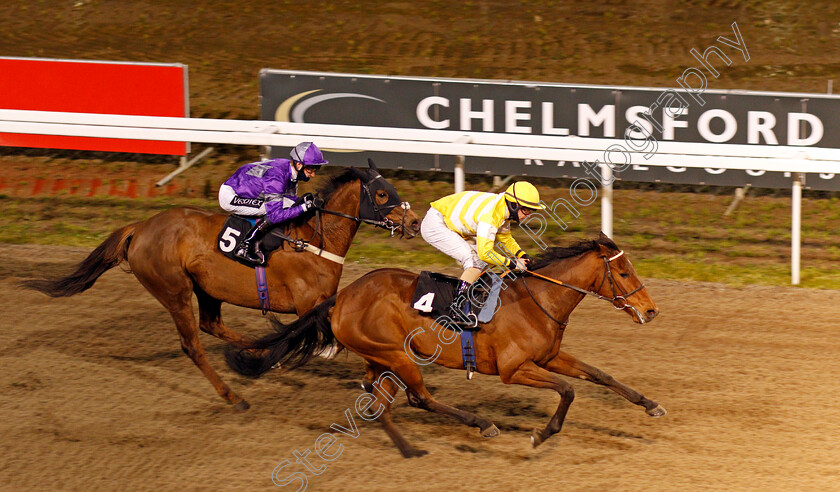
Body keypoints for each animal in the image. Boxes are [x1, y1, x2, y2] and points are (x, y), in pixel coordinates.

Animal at [21, 162, 420, 412]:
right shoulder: (309, 304)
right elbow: (338, 338)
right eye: (382, 195)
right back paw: (233, 396)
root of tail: (141, 227)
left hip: (206, 290)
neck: (313, 237)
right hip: (175, 291)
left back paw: (258, 356)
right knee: (192, 345)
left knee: (211, 325)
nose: (415, 222)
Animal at [226, 234, 668, 458]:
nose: (651, 311)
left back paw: (408, 449)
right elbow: (569, 390)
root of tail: (344, 294)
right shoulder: (513, 370)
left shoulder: (550, 356)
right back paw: (481, 424)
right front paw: (541, 436)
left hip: (382, 357)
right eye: (623, 272)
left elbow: (600, 375)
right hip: (397, 355)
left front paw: (651, 405)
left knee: (377, 399)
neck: (538, 299)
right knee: (417, 397)